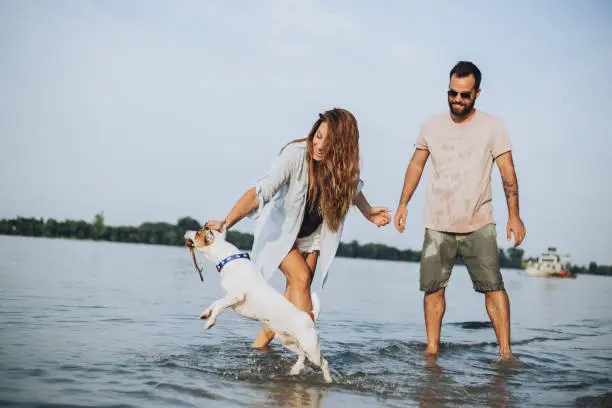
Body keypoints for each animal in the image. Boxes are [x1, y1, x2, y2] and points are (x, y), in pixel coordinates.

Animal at [184, 223, 332, 382]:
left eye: (198, 233)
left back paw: (328, 379)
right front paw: (205, 314)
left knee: (323, 362)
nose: (186, 231)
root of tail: (310, 316)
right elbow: (215, 303)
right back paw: (295, 370)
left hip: (311, 347)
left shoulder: (235, 296)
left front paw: (210, 322)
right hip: (288, 342)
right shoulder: (229, 296)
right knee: (302, 356)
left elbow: (218, 307)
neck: (229, 258)